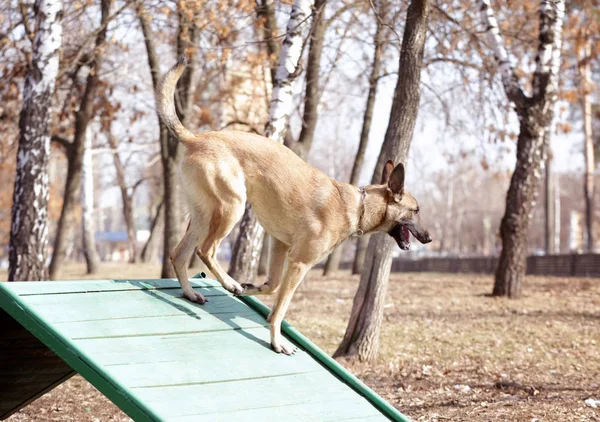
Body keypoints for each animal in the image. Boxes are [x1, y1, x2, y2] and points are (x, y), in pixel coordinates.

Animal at [158, 57, 432, 354]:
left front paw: (250, 287)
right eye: (416, 211)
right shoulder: (299, 263)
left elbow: (272, 286)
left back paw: (193, 293)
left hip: (204, 216)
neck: (358, 206)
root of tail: (195, 138)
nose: (429, 238)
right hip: (232, 207)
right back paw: (228, 281)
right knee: (205, 250)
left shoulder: (279, 245)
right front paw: (277, 340)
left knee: (179, 254)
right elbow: (280, 308)